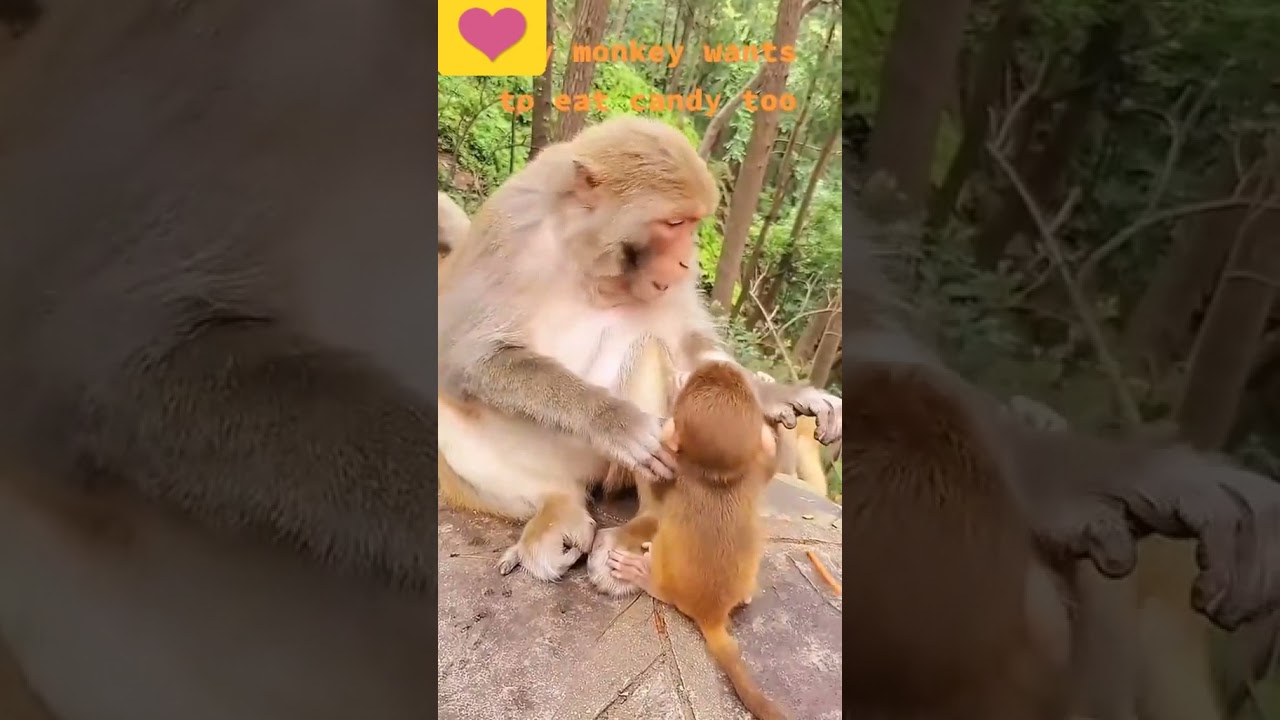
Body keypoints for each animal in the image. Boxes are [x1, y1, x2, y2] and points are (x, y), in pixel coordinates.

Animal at [436, 116, 844, 583]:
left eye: (692, 224)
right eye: (673, 223)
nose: (686, 261)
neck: (591, 259)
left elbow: (686, 345)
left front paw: (778, 395)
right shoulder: (511, 229)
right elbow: (465, 356)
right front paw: (616, 421)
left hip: (611, 474)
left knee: (650, 348)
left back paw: (637, 533)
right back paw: (558, 507)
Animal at [606, 361, 790, 720]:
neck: (719, 478)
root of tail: (712, 614)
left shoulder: (676, 473)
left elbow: (654, 492)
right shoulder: (755, 469)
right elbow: (771, 463)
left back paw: (646, 577)